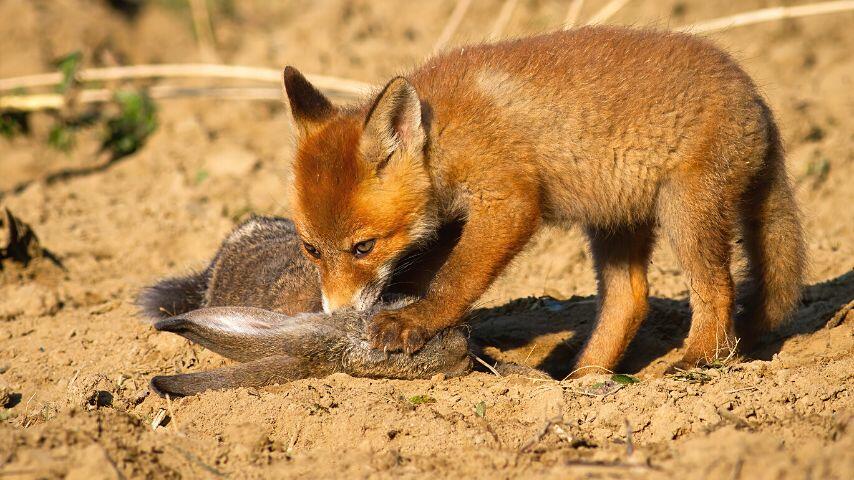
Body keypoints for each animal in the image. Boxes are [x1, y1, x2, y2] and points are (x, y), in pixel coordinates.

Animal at [286, 26, 808, 376]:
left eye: (363, 247)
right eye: (311, 250)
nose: (335, 314)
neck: (444, 134)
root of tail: (756, 96)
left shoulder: (508, 202)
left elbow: (455, 279)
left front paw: (415, 319)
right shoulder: (453, 219)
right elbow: (425, 271)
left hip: (687, 213)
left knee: (717, 290)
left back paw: (698, 359)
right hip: (615, 221)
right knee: (630, 300)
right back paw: (582, 379)